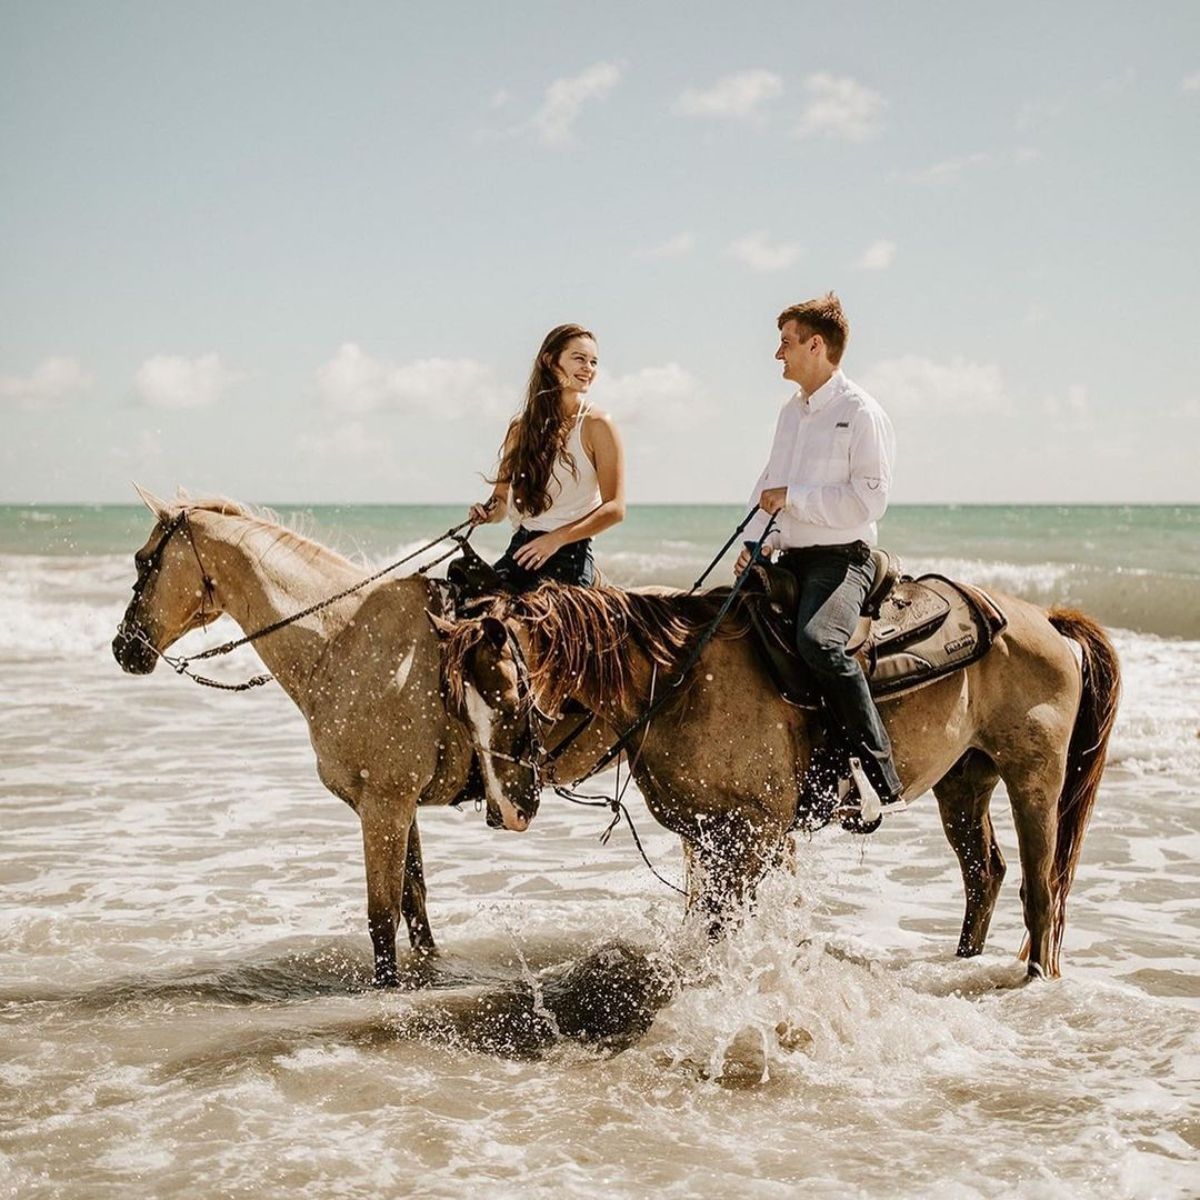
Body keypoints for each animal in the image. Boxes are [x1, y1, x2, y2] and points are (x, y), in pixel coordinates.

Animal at [112, 487, 544, 984]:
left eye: (143, 561)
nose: (122, 647)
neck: (346, 637)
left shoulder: (385, 805)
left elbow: (382, 917)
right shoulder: (396, 805)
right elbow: (414, 904)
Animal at [436, 583, 1118, 984]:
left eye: (508, 697)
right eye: (457, 703)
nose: (500, 811)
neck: (684, 683)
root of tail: (1042, 618)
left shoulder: (755, 835)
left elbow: (727, 926)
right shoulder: (707, 837)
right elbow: (706, 920)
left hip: (1034, 780)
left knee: (1042, 887)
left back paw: (1036, 979)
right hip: (963, 783)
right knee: (985, 874)